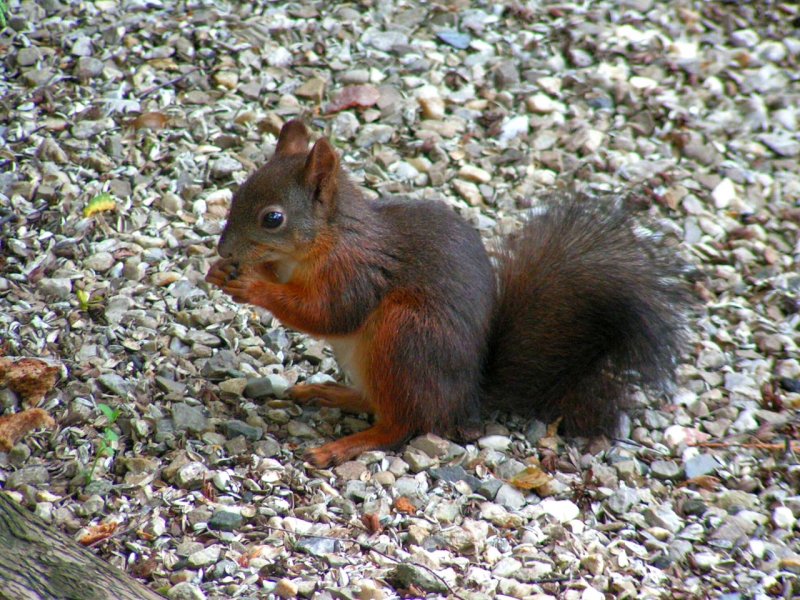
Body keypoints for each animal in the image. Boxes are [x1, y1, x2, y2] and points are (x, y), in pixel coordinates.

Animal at [205, 120, 688, 468]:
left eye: (273, 219)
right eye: (237, 192)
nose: (224, 249)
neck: (327, 239)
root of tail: (466, 399)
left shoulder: (356, 274)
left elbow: (326, 314)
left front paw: (251, 285)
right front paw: (223, 271)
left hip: (404, 337)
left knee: (403, 423)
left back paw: (343, 445)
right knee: (380, 403)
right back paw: (331, 393)